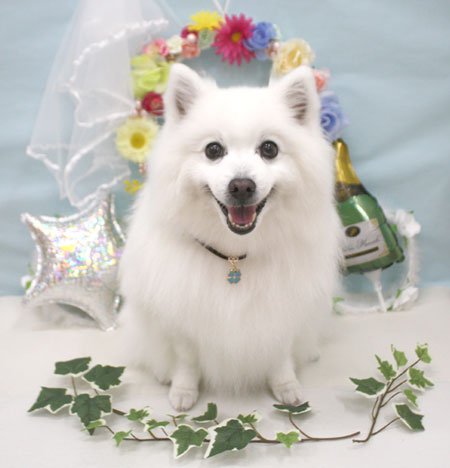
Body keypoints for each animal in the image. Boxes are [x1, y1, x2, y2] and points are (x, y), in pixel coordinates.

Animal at [118, 63, 342, 411]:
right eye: (213, 150)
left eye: (269, 149)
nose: (242, 185)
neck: (235, 255)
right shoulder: (182, 319)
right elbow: (187, 361)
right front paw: (183, 391)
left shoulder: (282, 313)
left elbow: (280, 358)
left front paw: (286, 387)